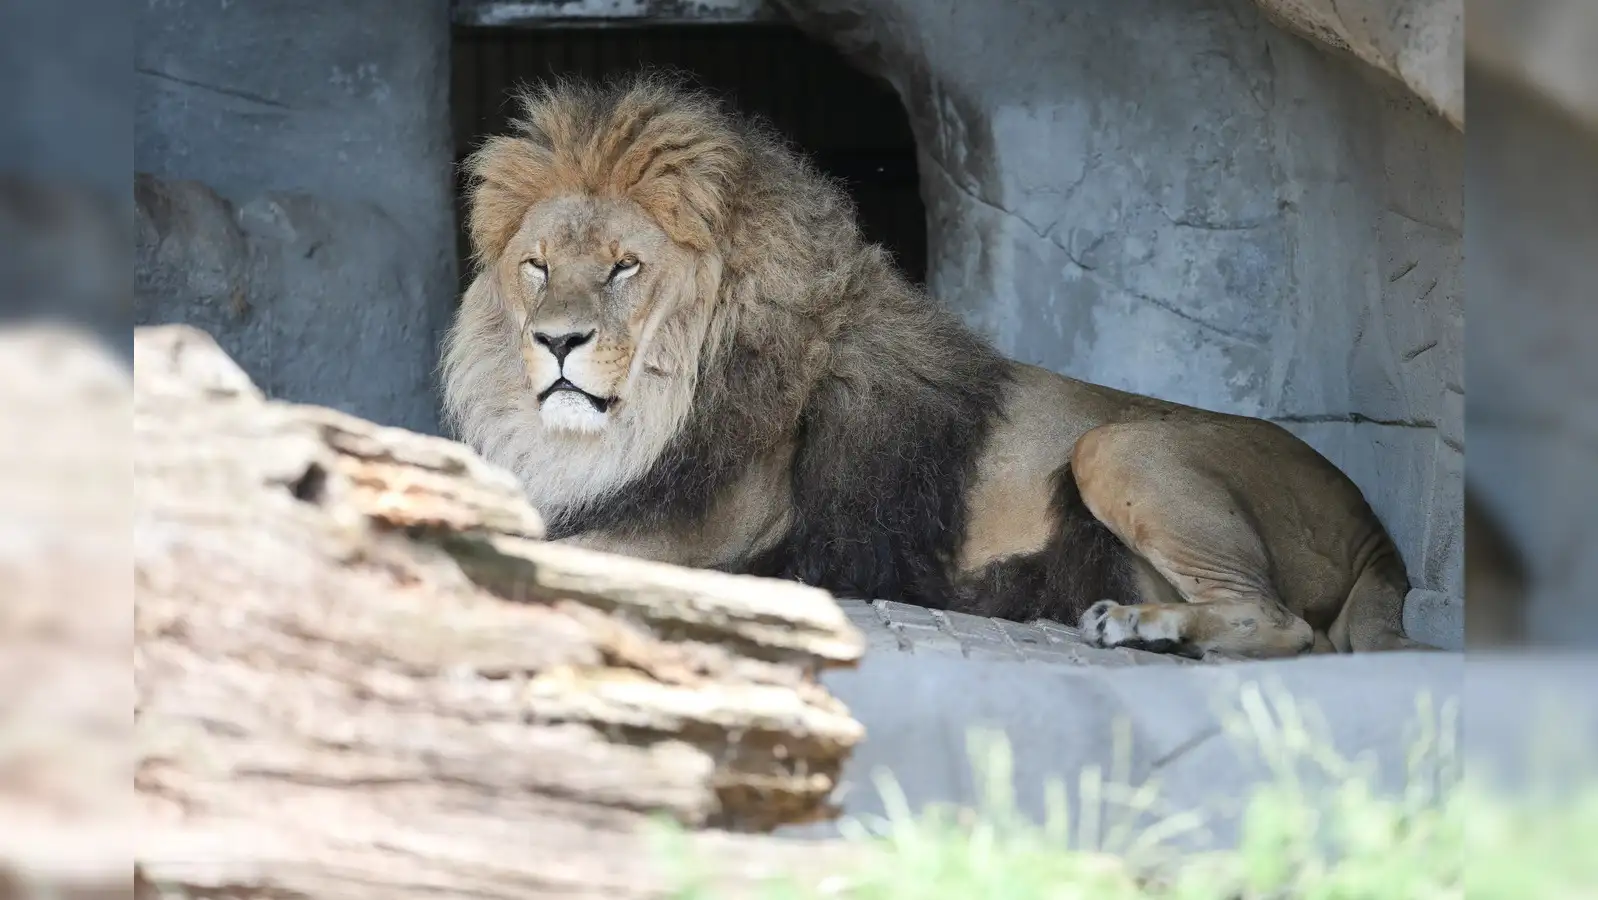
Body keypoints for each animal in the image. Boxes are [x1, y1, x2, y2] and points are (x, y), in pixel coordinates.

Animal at [442, 74, 1431, 659]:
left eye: (623, 267)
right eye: (537, 267)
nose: (556, 342)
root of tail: (1379, 534)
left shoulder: (710, 531)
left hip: (1116, 446)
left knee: (1284, 624)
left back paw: (1139, 625)